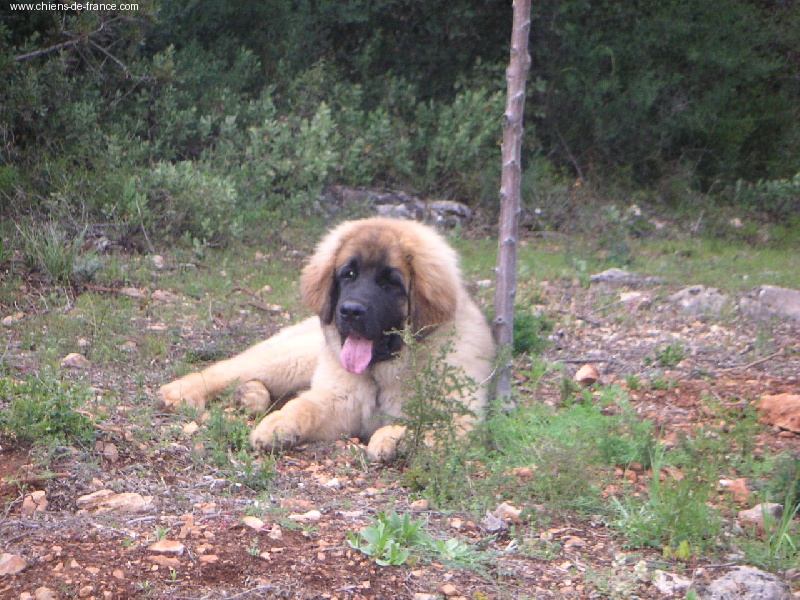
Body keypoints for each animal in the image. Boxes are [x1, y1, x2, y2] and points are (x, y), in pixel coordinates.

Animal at [158, 218, 494, 462]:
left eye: (390, 282)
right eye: (349, 274)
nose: (351, 311)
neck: (382, 375)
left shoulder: (461, 417)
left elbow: (424, 423)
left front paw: (389, 438)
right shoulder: (336, 400)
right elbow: (303, 407)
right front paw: (277, 426)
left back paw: (249, 395)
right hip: (292, 358)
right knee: (227, 370)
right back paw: (181, 392)